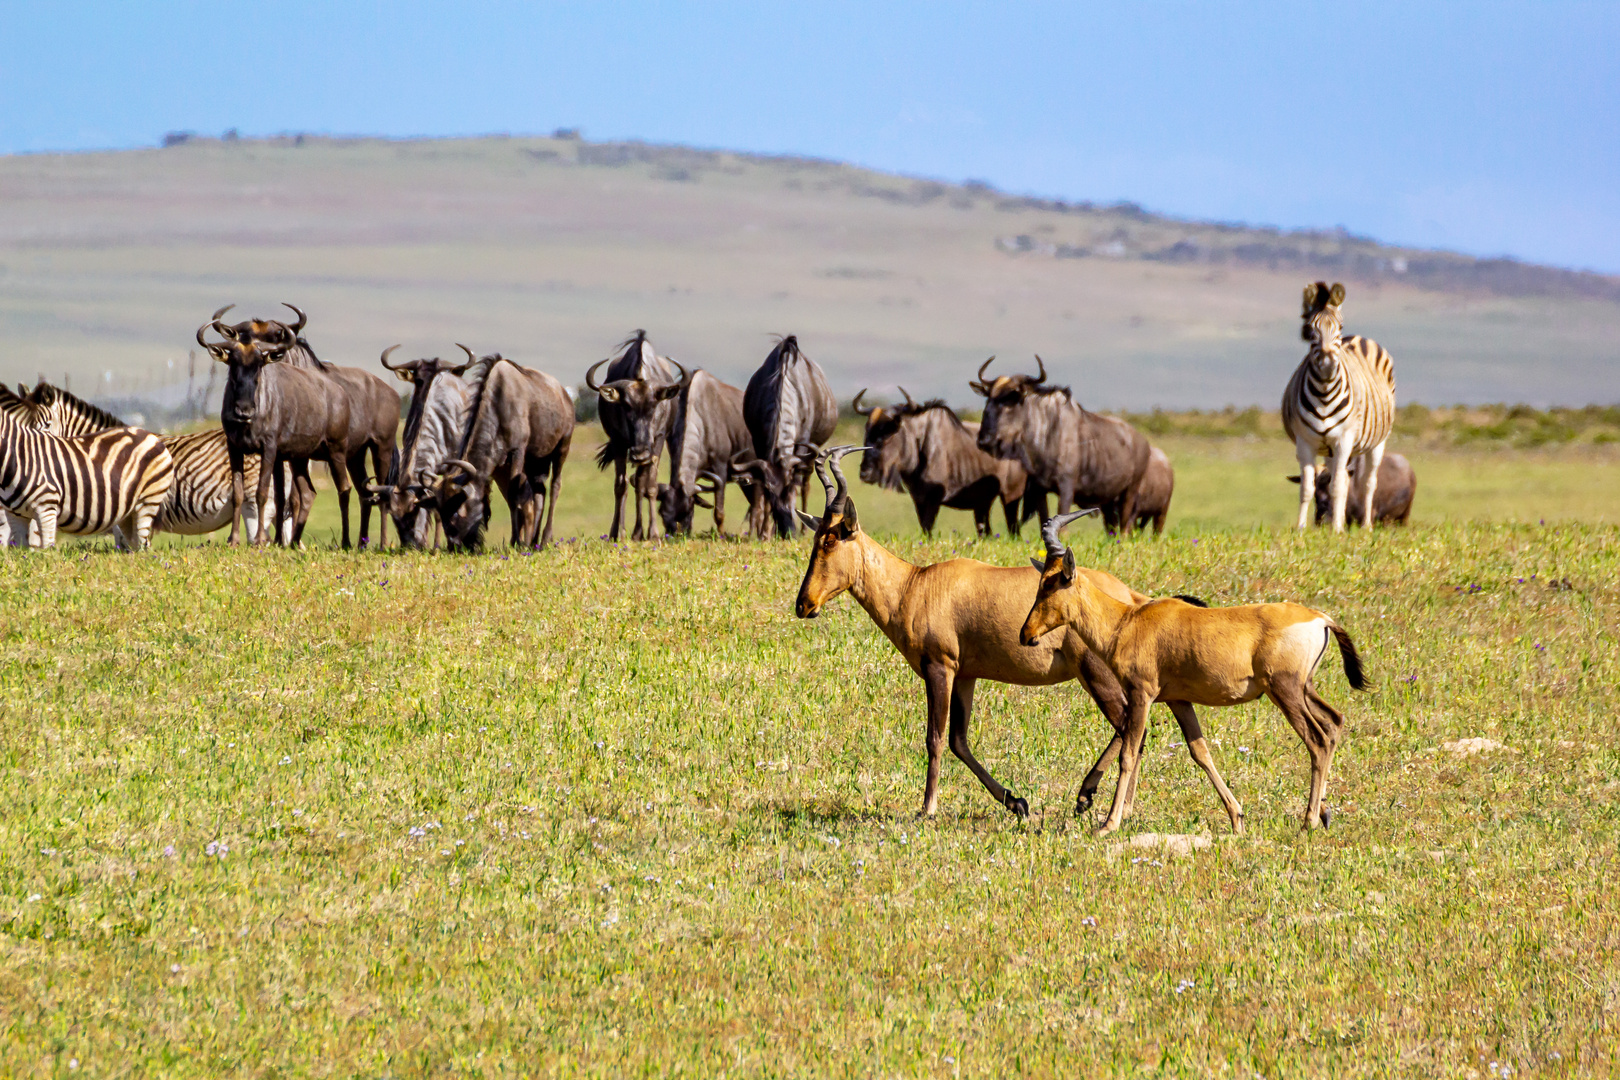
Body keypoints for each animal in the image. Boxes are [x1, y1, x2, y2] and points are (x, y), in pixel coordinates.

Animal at [0, 409, 177, 553]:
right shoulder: (14, 514)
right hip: (129, 512)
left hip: (148, 500)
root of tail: (150, 435)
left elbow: (46, 550)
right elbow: (23, 551)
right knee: (136, 545)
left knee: (141, 546)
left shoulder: (47, 506)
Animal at [793, 446, 1153, 819]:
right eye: (816, 537)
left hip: (1095, 673)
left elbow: (935, 738)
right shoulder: (966, 675)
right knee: (1135, 729)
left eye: (831, 539)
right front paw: (1017, 802)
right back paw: (1114, 804)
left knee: (1131, 729)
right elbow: (959, 741)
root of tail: (1129, 597)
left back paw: (1090, 797)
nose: (804, 604)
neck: (916, 584)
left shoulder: (940, 668)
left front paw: (927, 808)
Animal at [1023, 511, 1367, 835]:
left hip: (1285, 691)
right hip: (1304, 688)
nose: (1026, 635)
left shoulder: (1141, 694)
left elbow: (1130, 753)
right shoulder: (1179, 701)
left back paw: (1308, 822)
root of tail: (1321, 618)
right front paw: (1237, 819)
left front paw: (1108, 824)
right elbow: (1200, 752)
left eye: (1051, 583)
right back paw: (1321, 814)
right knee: (1334, 723)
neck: (1129, 621)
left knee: (1317, 740)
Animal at [1283, 278, 1399, 531]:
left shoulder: (1344, 440)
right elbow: (1307, 488)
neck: (1324, 394)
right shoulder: (1305, 443)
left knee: (1368, 482)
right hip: (1329, 449)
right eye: (1310, 330)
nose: (1327, 363)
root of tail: (1359, 337)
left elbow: (1336, 487)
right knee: (1345, 478)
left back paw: (1365, 526)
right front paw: (1301, 528)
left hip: (1377, 442)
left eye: (1340, 326)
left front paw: (1336, 529)